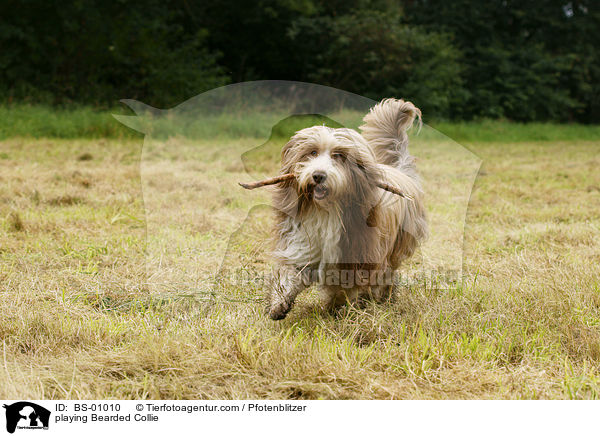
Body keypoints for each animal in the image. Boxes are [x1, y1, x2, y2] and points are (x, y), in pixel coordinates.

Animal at [266, 99, 426, 320]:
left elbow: (344, 287)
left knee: (387, 274)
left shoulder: (357, 255)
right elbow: (289, 274)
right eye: (312, 152)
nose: (318, 175)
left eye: (339, 156)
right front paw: (279, 304)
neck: (326, 211)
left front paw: (336, 307)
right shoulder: (300, 244)